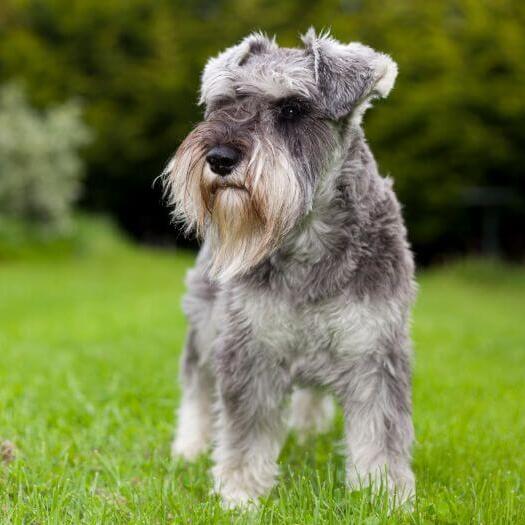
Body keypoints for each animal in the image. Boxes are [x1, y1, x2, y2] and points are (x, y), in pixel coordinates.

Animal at [162, 28, 416, 508]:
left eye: (292, 109)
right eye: (223, 103)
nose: (219, 157)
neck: (307, 240)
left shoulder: (374, 351)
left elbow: (380, 432)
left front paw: (384, 495)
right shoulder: (250, 349)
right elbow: (246, 432)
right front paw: (239, 494)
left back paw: (308, 430)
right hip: (204, 326)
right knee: (196, 386)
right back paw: (189, 446)